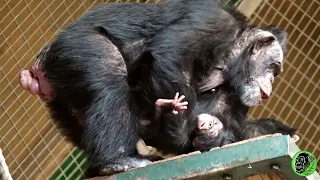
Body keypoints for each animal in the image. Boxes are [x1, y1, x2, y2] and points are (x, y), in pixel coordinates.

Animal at [18, 0, 286, 175]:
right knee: (110, 75)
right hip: (77, 47)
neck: (231, 56)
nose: (272, 80)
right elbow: (171, 57)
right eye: (273, 67)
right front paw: (176, 121)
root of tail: (41, 67)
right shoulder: (215, 20)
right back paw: (117, 160)